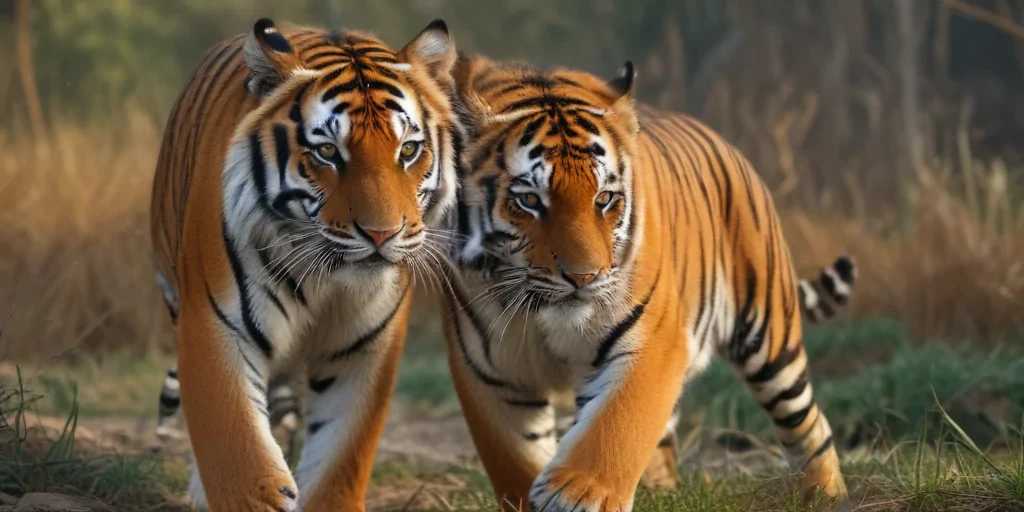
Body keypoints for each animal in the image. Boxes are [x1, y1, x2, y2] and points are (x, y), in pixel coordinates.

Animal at [148, 17, 462, 511]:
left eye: (409, 150)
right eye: (328, 153)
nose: (381, 235)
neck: (325, 280)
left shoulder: (363, 350)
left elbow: (340, 458)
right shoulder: (216, 327)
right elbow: (237, 450)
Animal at [440, 54, 855, 512]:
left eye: (604, 199)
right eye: (529, 200)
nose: (584, 277)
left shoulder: (654, 339)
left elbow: (621, 421)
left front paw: (580, 493)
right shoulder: (489, 372)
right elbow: (514, 458)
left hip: (769, 335)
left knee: (807, 422)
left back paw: (825, 493)